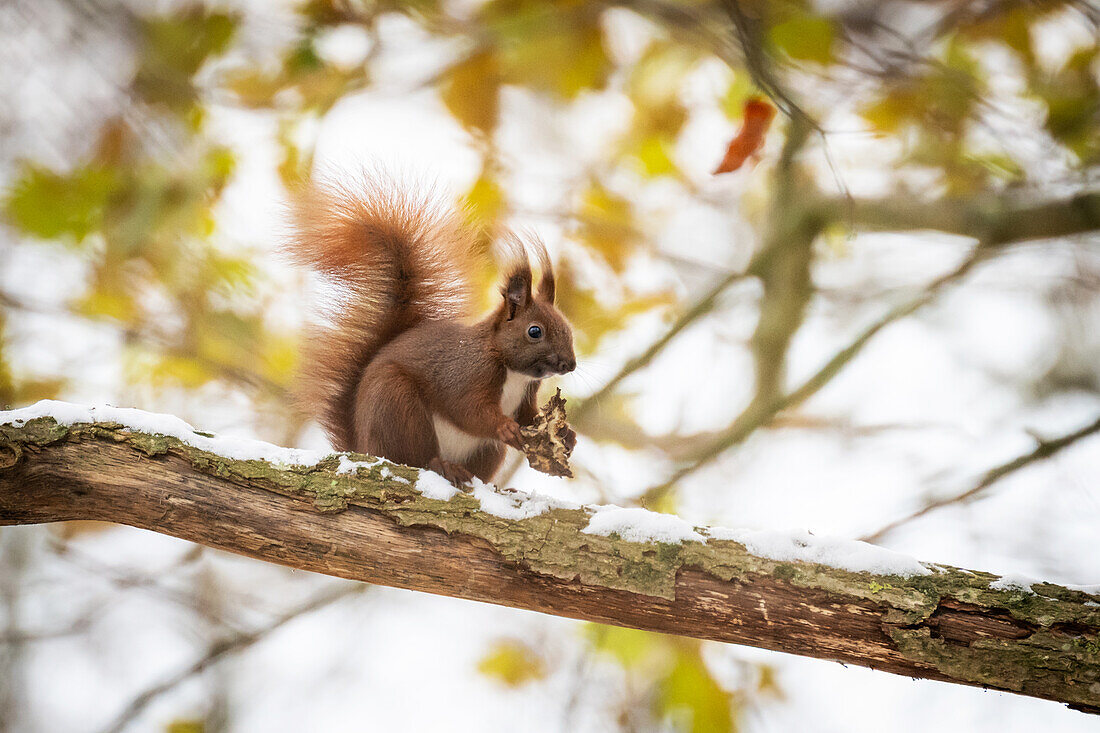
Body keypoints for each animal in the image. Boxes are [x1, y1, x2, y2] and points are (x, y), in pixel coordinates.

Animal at [288, 176, 580, 484]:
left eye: (568, 328)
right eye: (535, 332)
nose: (569, 364)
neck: (513, 372)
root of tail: (363, 447)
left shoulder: (526, 396)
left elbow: (528, 417)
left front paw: (567, 434)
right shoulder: (466, 374)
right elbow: (469, 410)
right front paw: (504, 427)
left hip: (485, 451)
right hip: (396, 405)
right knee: (416, 457)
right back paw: (441, 465)